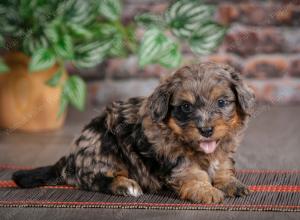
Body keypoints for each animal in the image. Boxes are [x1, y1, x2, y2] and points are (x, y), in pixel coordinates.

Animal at [12, 62, 254, 205]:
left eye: (222, 102)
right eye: (186, 107)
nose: (206, 130)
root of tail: (69, 158)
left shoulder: (222, 151)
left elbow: (222, 166)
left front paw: (230, 182)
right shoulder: (175, 158)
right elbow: (192, 173)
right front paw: (205, 190)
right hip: (103, 142)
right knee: (94, 179)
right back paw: (125, 185)